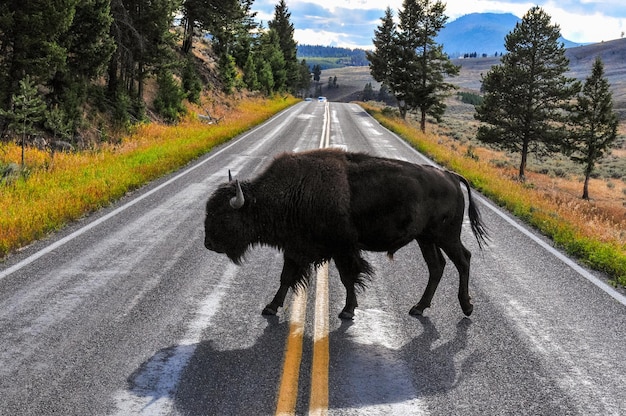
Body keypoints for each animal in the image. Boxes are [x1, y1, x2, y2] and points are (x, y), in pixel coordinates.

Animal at [205, 148, 488, 320]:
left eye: (224, 215)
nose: (208, 243)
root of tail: (451, 176)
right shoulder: (295, 249)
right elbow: (285, 278)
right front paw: (270, 308)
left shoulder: (342, 249)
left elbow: (348, 278)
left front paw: (347, 311)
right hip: (426, 239)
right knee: (437, 266)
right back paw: (418, 308)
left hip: (446, 236)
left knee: (463, 260)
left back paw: (467, 307)